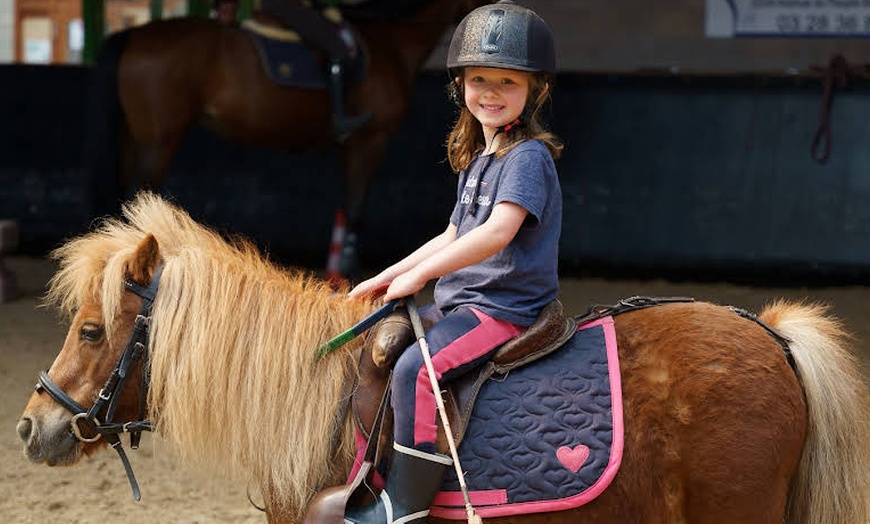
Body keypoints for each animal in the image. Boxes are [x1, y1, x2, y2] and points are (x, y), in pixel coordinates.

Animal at [85, 0, 494, 280]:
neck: (392, 42)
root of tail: (134, 35)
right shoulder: (369, 140)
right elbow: (355, 208)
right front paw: (346, 275)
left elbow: (345, 207)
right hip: (159, 141)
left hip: (133, 140)